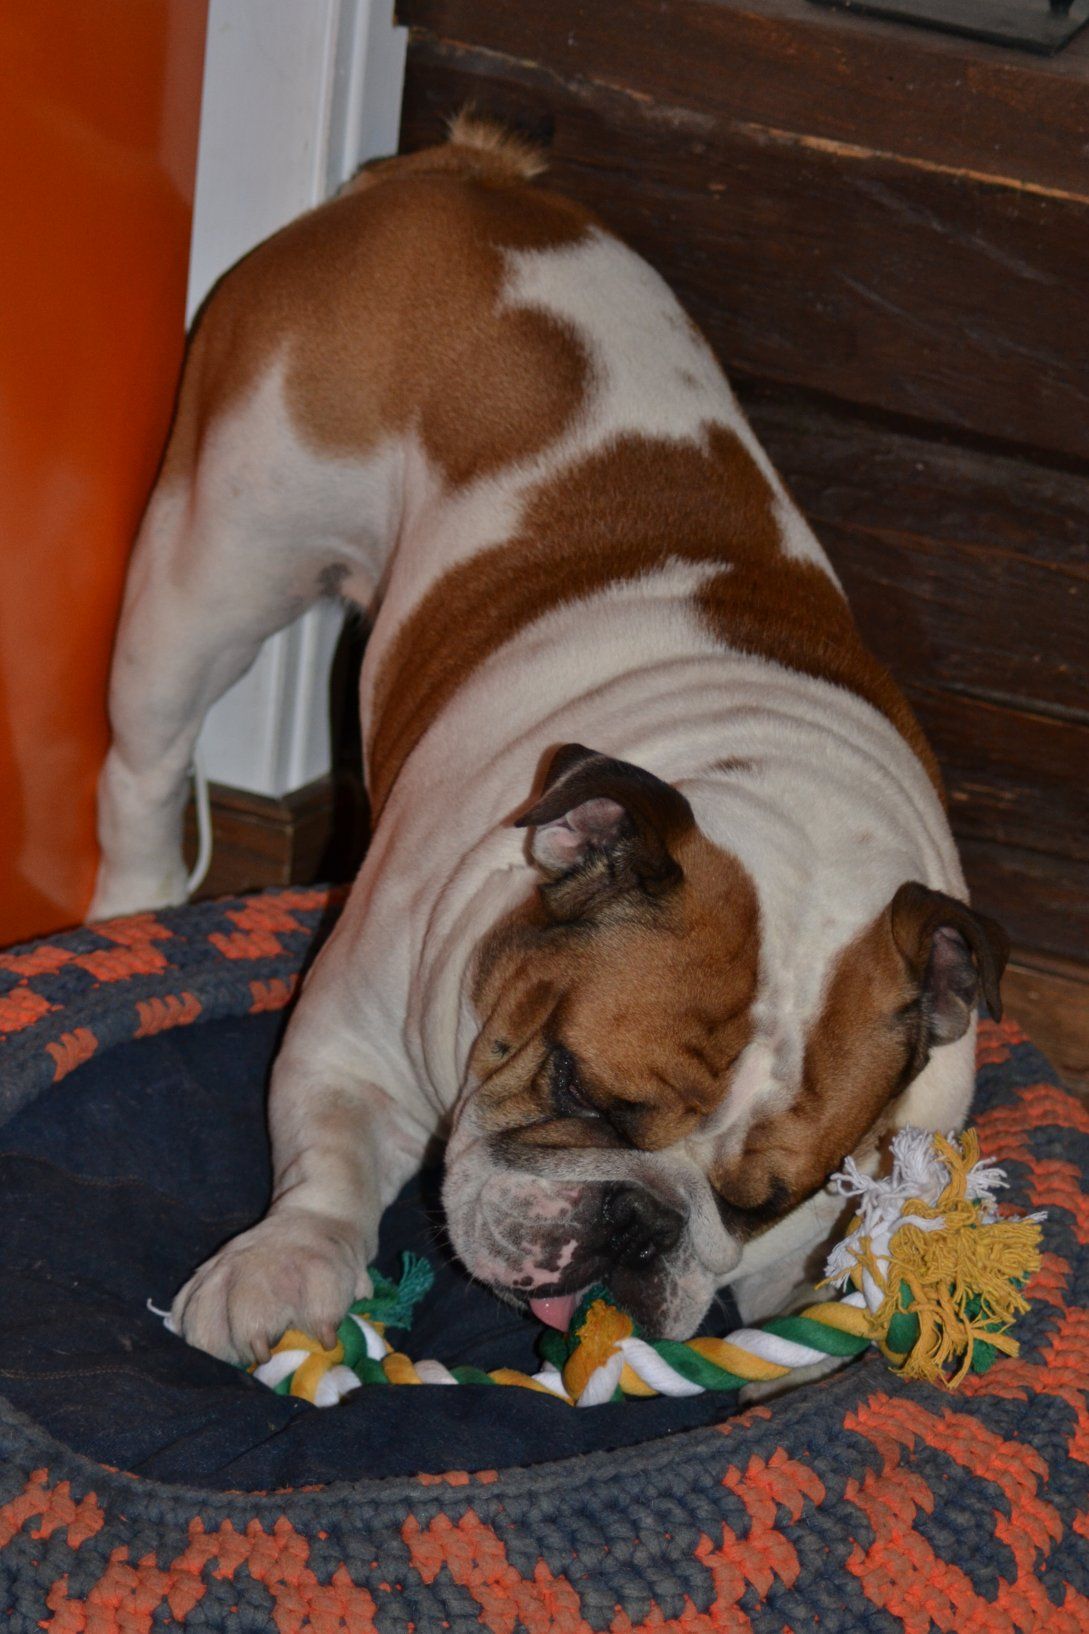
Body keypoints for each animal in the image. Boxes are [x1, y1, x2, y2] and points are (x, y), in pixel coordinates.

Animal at [90, 115, 1008, 1364]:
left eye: (766, 1197)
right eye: (578, 1088)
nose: (639, 1223)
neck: (796, 801)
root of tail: (461, 176)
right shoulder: (348, 1043)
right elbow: (327, 1166)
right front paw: (281, 1264)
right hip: (219, 559)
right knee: (144, 760)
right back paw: (123, 908)